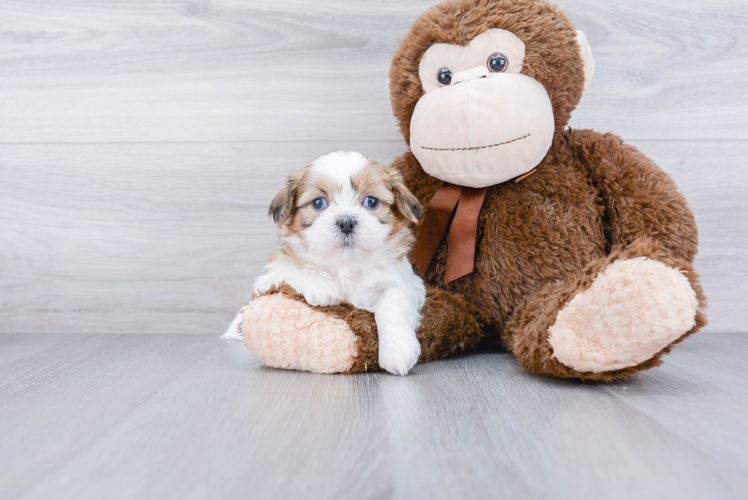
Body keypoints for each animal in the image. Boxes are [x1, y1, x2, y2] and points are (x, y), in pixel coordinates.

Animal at [221, 152, 426, 376]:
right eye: (319, 203)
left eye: (371, 201)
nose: (346, 222)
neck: (344, 263)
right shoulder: (270, 277)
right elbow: (292, 272)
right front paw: (323, 287)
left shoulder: (402, 280)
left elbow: (393, 302)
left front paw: (398, 352)